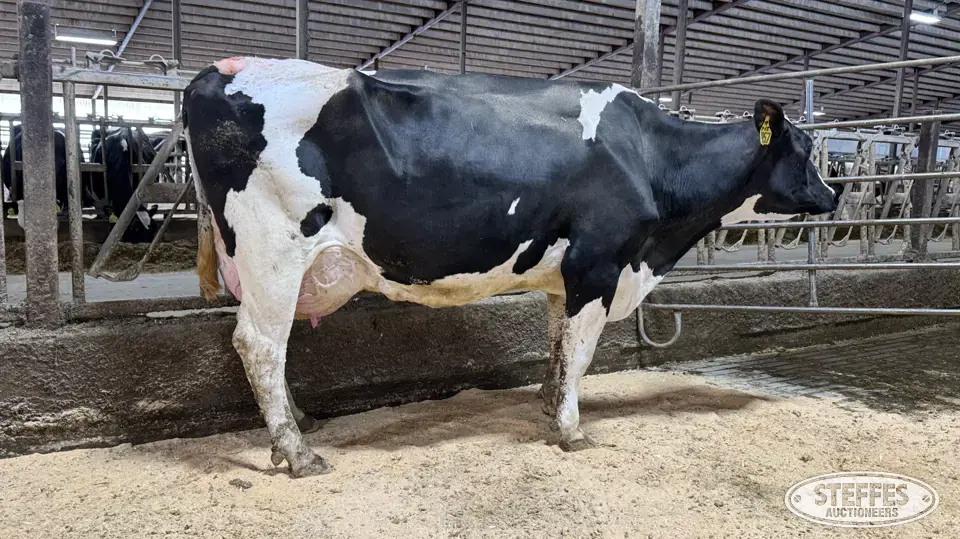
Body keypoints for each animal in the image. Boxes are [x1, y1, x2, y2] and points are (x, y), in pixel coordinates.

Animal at [182, 57, 838, 478]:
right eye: (806, 151)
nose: (835, 196)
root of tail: (216, 72)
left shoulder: (565, 275)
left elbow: (557, 343)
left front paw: (549, 405)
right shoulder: (599, 262)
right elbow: (581, 350)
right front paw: (571, 431)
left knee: (267, 349)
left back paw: (298, 425)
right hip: (273, 250)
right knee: (260, 345)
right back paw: (296, 453)